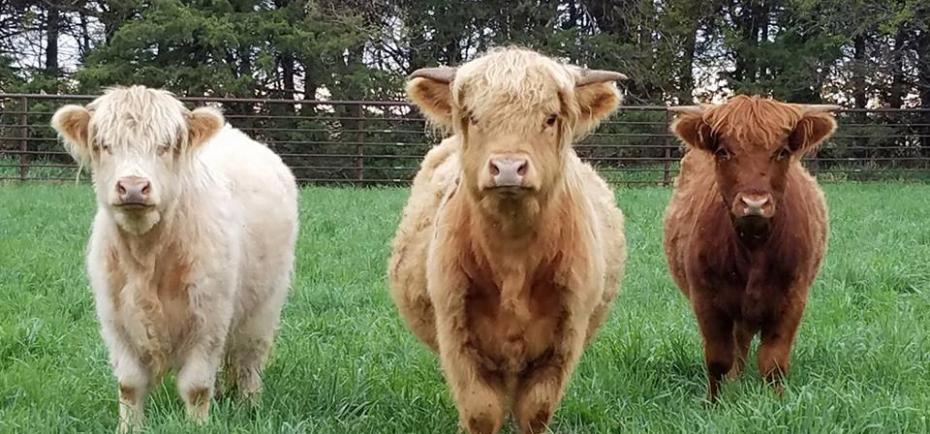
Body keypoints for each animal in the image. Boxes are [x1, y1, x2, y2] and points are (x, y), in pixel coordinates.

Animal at [50, 86, 298, 432]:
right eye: (103, 145)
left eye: (165, 146)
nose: (133, 187)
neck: (147, 258)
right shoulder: (115, 320)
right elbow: (129, 384)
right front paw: (129, 427)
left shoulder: (209, 318)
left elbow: (196, 387)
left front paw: (198, 425)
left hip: (264, 305)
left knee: (250, 359)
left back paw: (249, 405)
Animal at [388, 47, 628, 434]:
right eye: (473, 117)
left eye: (550, 118)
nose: (509, 167)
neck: (514, 260)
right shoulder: (456, 331)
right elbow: (481, 410)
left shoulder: (565, 336)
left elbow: (535, 409)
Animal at [663, 95, 838, 401]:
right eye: (723, 151)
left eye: (782, 152)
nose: (754, 203)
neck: (754, 249)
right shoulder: (706, 299)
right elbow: (718, 359)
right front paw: (714, 403)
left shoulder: (793, 297)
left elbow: (773, 361)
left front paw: (779, 402)